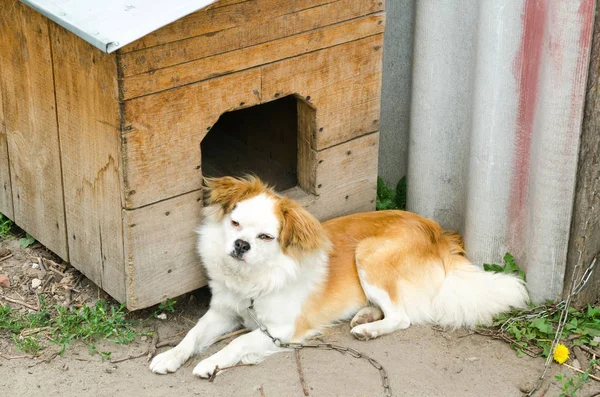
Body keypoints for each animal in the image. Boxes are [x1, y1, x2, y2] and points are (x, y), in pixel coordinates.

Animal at [149, 176, 524, 378]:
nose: (241, 245)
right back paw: (365, 315)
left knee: (402, 316)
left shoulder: (280, 330)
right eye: (235, 224)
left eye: (265, 237)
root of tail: (438, 233)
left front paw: (211, 363)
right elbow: (192, 335)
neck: (252, 277)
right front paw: (170, 357)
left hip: (369, 253)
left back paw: (370, 329)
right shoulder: (222, 312)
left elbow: (237, 343)